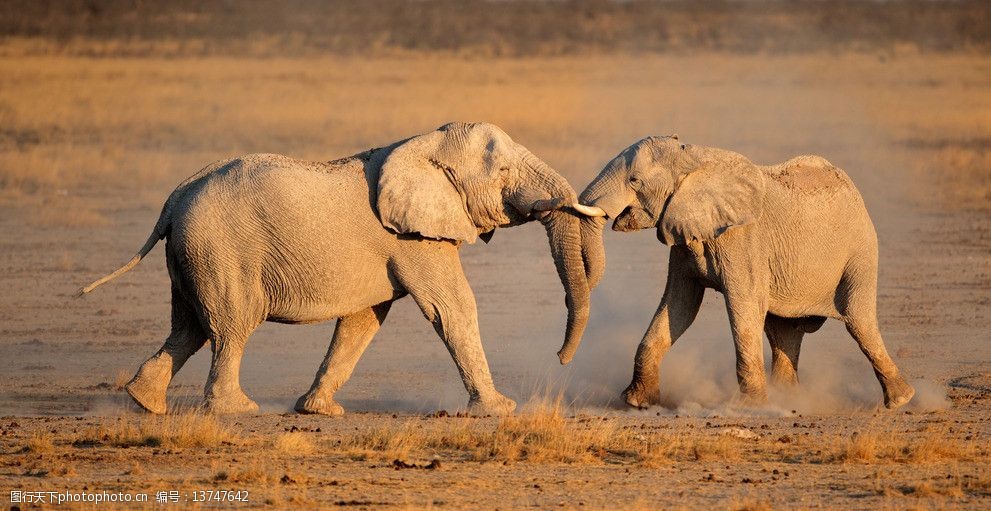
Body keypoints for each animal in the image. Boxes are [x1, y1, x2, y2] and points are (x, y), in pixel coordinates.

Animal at [77, 123, 600, 416]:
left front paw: (320, 413)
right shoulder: (414, 239)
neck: (423, 143)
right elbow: (452, 308)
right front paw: (500, 410)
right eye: (504, 174)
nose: (560, 360)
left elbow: (363, 321)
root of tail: (173, 198)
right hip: (220, 250)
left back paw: (144, 403)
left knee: (189, 327)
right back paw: (238, 411)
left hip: (192, 253)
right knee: (230, 326)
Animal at [576, 136, 920, 412]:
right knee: (783, 330)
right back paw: (789, 399)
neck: (693, 159)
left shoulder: (744, 240)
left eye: (634, 180)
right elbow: (678, 305)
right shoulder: (687, 234)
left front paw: (750, 407)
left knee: (859, 321)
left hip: (860, 251)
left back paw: (900, 401)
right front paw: (638, 403)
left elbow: (742, 306)